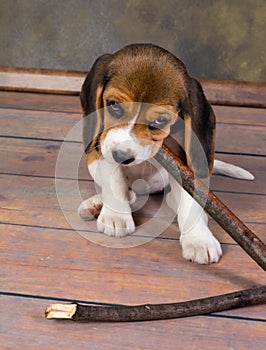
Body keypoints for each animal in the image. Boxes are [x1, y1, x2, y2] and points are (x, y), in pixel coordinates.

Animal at [77, 43, 254, 262]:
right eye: (114, 106)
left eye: (160, 121)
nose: (122, 157)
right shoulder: (103, 144)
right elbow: (115, 180)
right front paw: (116, 216)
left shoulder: (185, 164)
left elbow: (189, 200)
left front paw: (198, 239)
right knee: (128, 192)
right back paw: (97, 204)